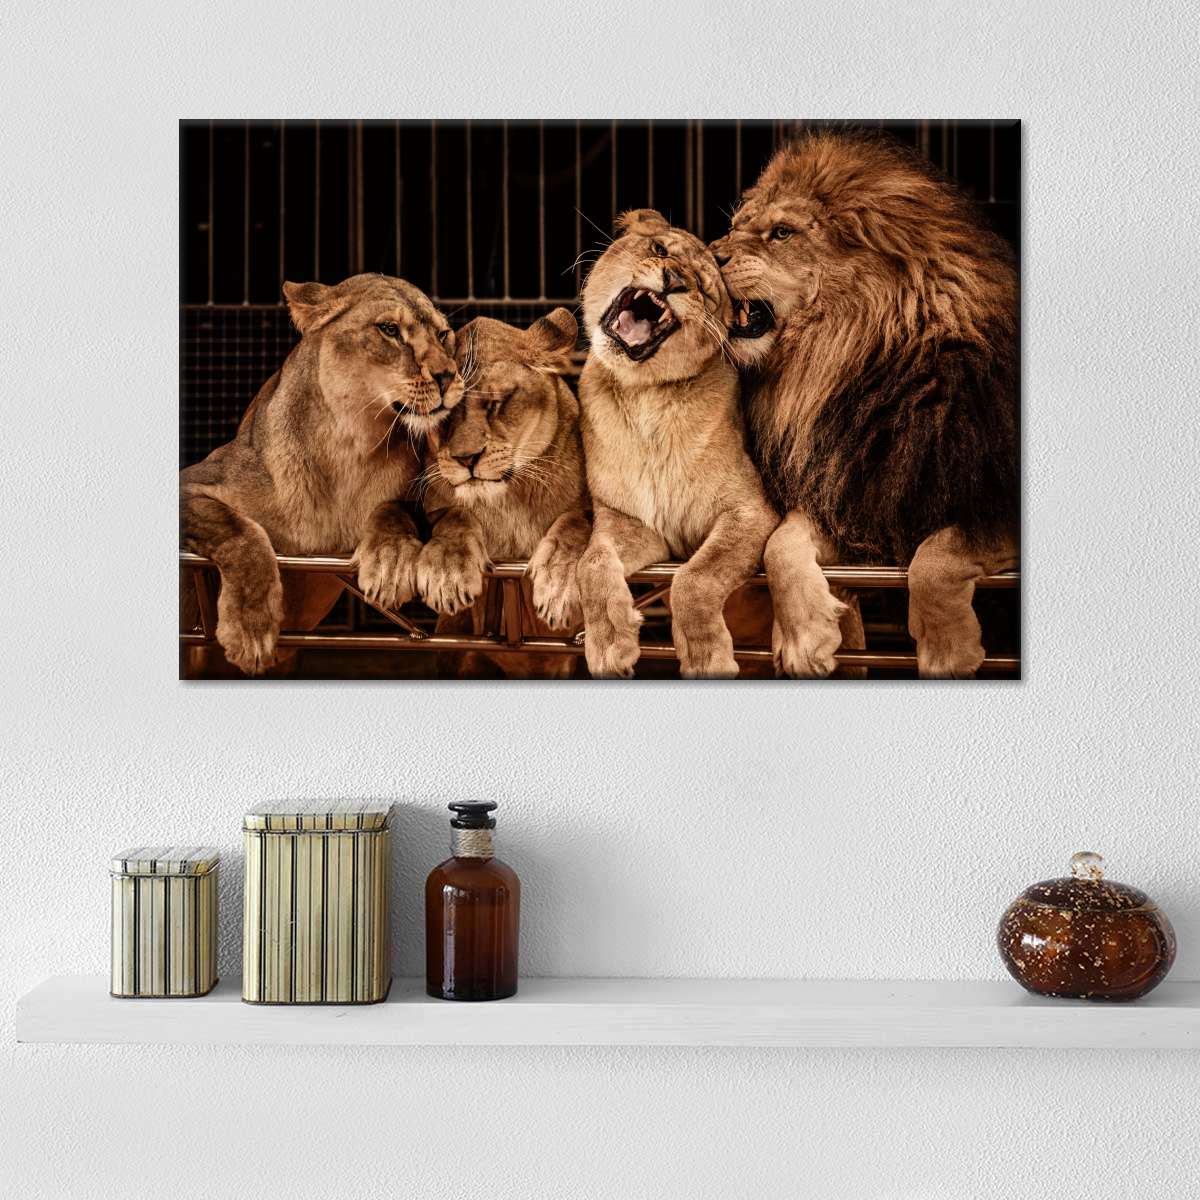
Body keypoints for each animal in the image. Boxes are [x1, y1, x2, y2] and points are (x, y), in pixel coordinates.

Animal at [180, 272, 462, 675]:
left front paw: (389, 562)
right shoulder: (194, 482)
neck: (350, 446)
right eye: (390, 329)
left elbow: (394, 509)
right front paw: (250, 630)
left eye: (443, 334)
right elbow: (238, 530)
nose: (448, 376)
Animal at [417, 308, 591, 678]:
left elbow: (576, 523)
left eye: (495, 404)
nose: (466, 458)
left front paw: (558, 585)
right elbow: (454, 516)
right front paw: (447, 572)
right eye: (443, 416)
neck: (507, 498)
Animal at [575, 209, 779, 679]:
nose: (673, 280)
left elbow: (695, 578)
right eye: (660, 250)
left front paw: (706, 656)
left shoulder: (750, 512)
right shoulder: (630, 522)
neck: (645, 395)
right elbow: (591, 564)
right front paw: (610, 643)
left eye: (704, 289)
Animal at [710, 131, 1019, 678]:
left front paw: (947, 650)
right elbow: (780, 544)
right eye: (734, 227)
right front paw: (804, 637)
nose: (709, 252)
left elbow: (938, 553)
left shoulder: (992, 501)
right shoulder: (852, 491)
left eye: (782, 233)